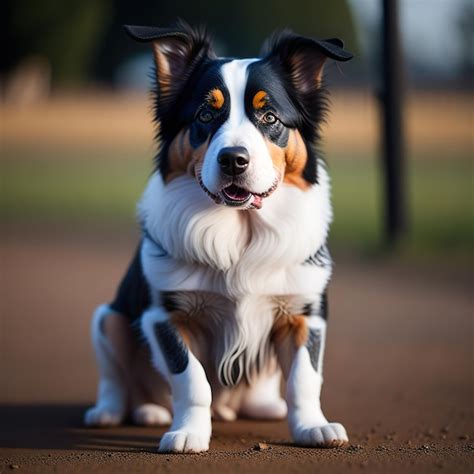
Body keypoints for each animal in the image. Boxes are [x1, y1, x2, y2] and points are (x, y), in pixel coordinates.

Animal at [84, 20, 352, 454]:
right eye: (206, 114)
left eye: (269, 116)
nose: (233, 160)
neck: (240, 230)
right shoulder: (166, 313)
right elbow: (191, 379)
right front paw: (188, 433)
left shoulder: (305, 312)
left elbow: (305, 378)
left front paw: (313, 426)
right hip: (107, 318)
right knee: (114, 378)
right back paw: (124, 412)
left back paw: (264, 406)